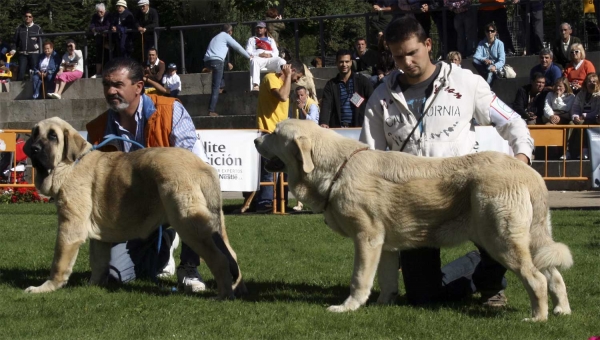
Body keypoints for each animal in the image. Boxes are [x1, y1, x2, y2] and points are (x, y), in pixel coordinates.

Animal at [23, 118, 244, 298]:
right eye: (35, 134)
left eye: (53, 136)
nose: (34, 148)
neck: (69, 166)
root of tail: (202, 166)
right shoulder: (99, 238)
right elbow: (98, 262)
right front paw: (93, 285)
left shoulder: (69, 229)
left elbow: (59, 263)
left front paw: (46, 287)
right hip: (213, 225)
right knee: (232, 256)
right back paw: (237, 288)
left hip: (189, 223)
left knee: (220, 260)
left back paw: (224, 294)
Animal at [254, 119, 572, 322]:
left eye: (275, 133)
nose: (256, 138)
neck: (337, 168)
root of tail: (529, 172)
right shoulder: (384, 245)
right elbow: (385, 279)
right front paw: (383, 303)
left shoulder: (366, 238)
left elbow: (359, 279)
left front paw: (348, 308)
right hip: (530, 240)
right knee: (554, 275)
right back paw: (562, 311)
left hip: (500, 240)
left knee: (536, 279)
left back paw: (538, 318)